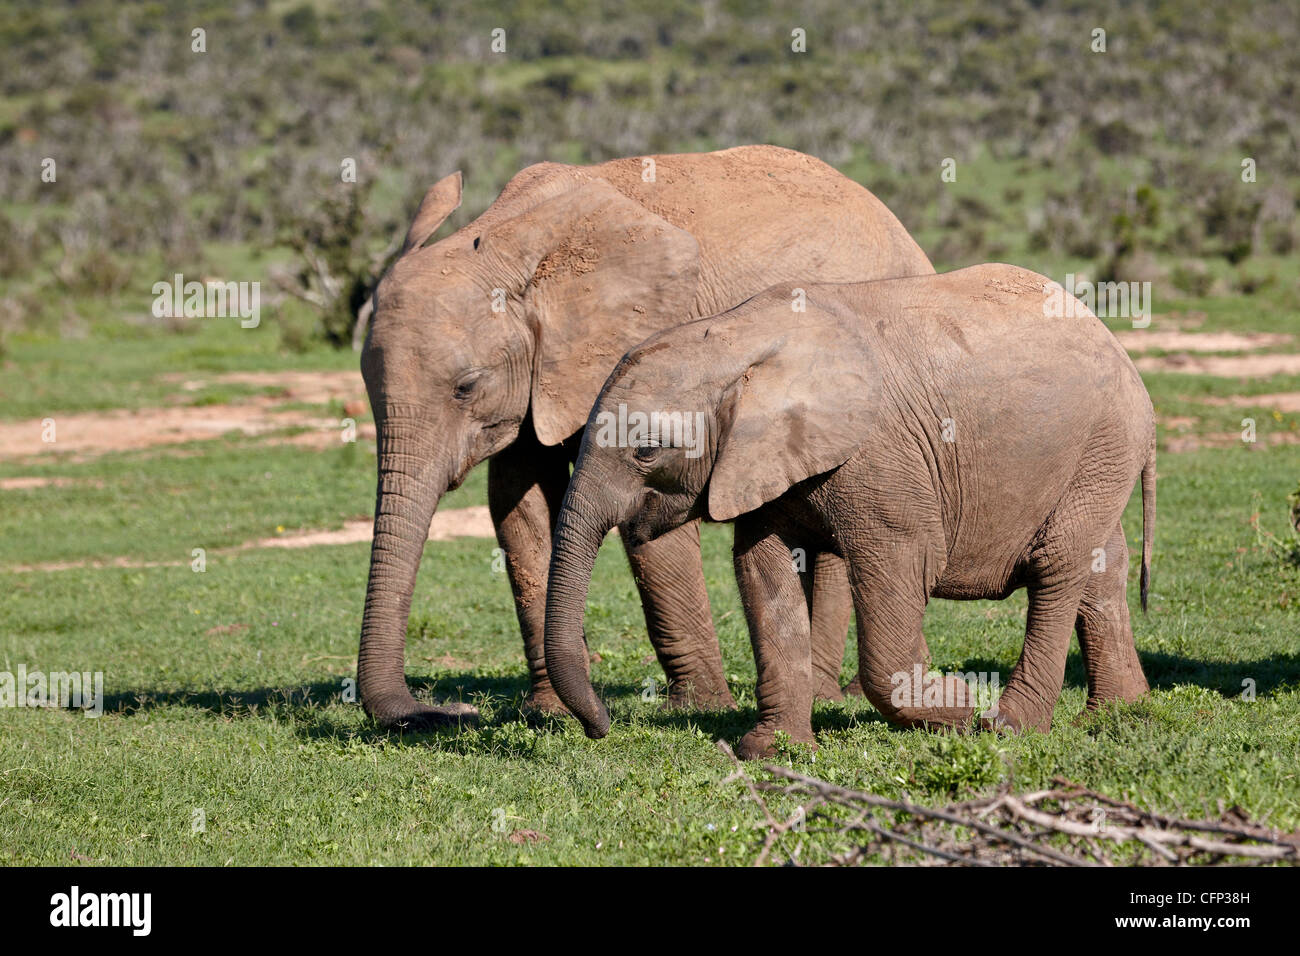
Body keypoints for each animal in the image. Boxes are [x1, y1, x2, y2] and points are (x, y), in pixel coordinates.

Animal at [357, 145, 937, 728]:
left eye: (466, 386)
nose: (449, 710)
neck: (503, 235)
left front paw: (701, 707)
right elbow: (518, 505)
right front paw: (550, 714)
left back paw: (829, 696)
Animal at [542, 263, 1155, 759]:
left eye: (646, 450)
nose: (600, 728)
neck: (736, 340)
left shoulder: (882, 458)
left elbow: (902, 564)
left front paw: (961, 708)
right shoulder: (761, 461)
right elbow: (763, 573)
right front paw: (772, 752)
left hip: (1103, 442)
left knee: (1056, 567)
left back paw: (1009, 726)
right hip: (1098, 460)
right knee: (1101, 568)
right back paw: (1119, 713)